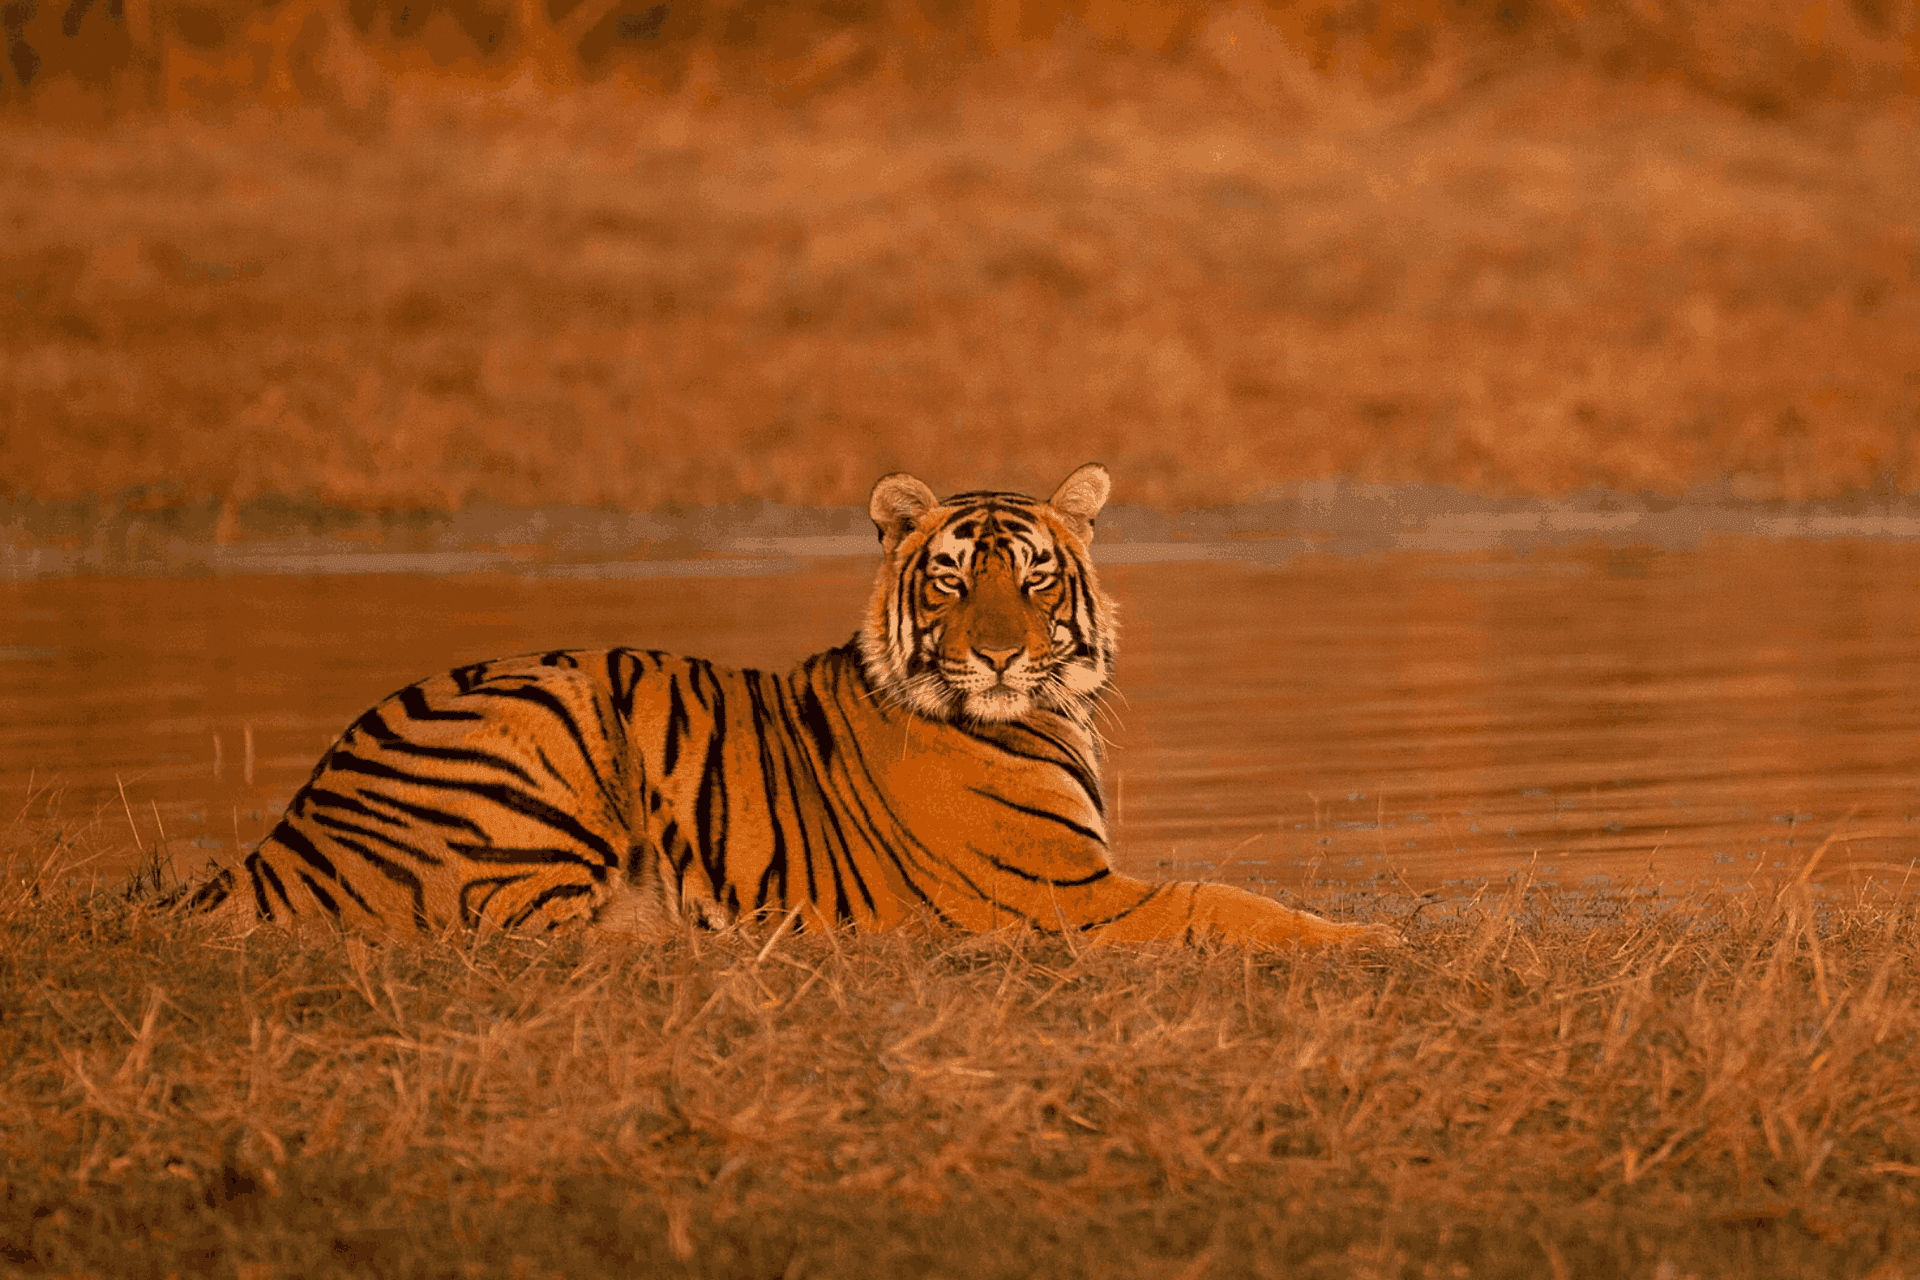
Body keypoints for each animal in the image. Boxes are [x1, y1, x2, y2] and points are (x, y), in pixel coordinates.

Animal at [183, 464, 1395, 949]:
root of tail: (285, 830)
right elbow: (1227, 900)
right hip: (549, 715)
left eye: (1037, 578)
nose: (1000, 655)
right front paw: (1372, 937)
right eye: (953, 580)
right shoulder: (1070, 898)